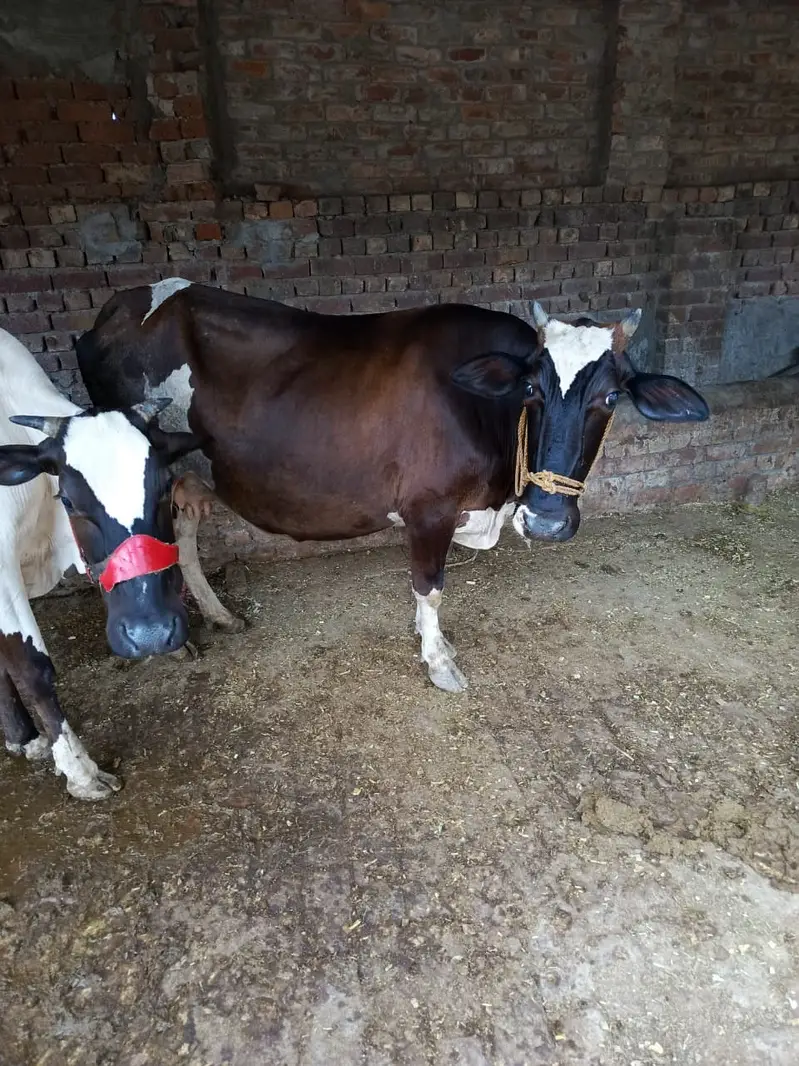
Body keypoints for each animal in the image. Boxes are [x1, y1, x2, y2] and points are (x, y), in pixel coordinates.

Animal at [0, 327, 193, 800]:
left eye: (165, 485)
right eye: (68, 499)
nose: (149, 635)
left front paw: (23, 737)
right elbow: (33, 667)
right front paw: (80, 770)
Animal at [76, 280, 709, 693]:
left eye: (612, 396)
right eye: (532, 389)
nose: (547, 520)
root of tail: (119, 305)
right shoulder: (429, 508)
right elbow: (430, 586)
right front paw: (439, 661)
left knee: (180, 538)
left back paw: (217, 616)